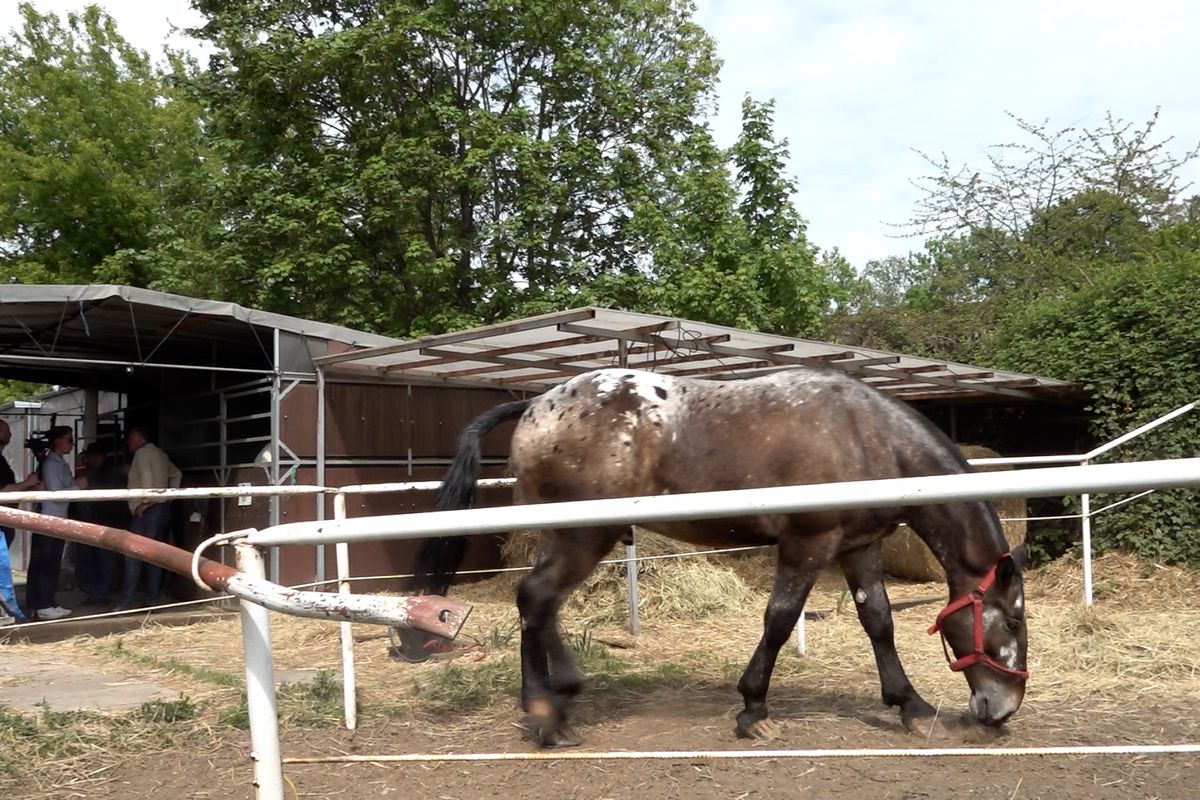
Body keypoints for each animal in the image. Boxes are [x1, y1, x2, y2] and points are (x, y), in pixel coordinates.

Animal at [408, 367, 1027, 748]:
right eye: (1014, 621)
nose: (1003, 708)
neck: (863, 436)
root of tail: (536, 404)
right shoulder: (808, 545)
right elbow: (779, 622)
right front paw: (753, 711)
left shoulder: (858, 547)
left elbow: (878, 622)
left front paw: (911, 706)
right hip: (584, 535)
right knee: (538, 599)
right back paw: (553, 709)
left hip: (564, 537)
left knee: (534, 604)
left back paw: (539, 706)